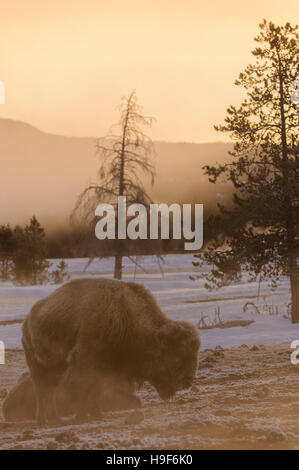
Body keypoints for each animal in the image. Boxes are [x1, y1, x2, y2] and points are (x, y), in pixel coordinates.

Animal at [22, 278, 202, 424]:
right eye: (177, 355)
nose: (188, 381)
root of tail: (28, 319)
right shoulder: (85, 365)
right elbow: (83, 389)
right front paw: (82, 417)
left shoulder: (105, 371)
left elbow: (95, 391)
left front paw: (97, 415)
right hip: (37, 367)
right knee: (41, 392)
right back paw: (43, 421)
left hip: (55, 370)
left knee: (49, 392)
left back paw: (54, 419)